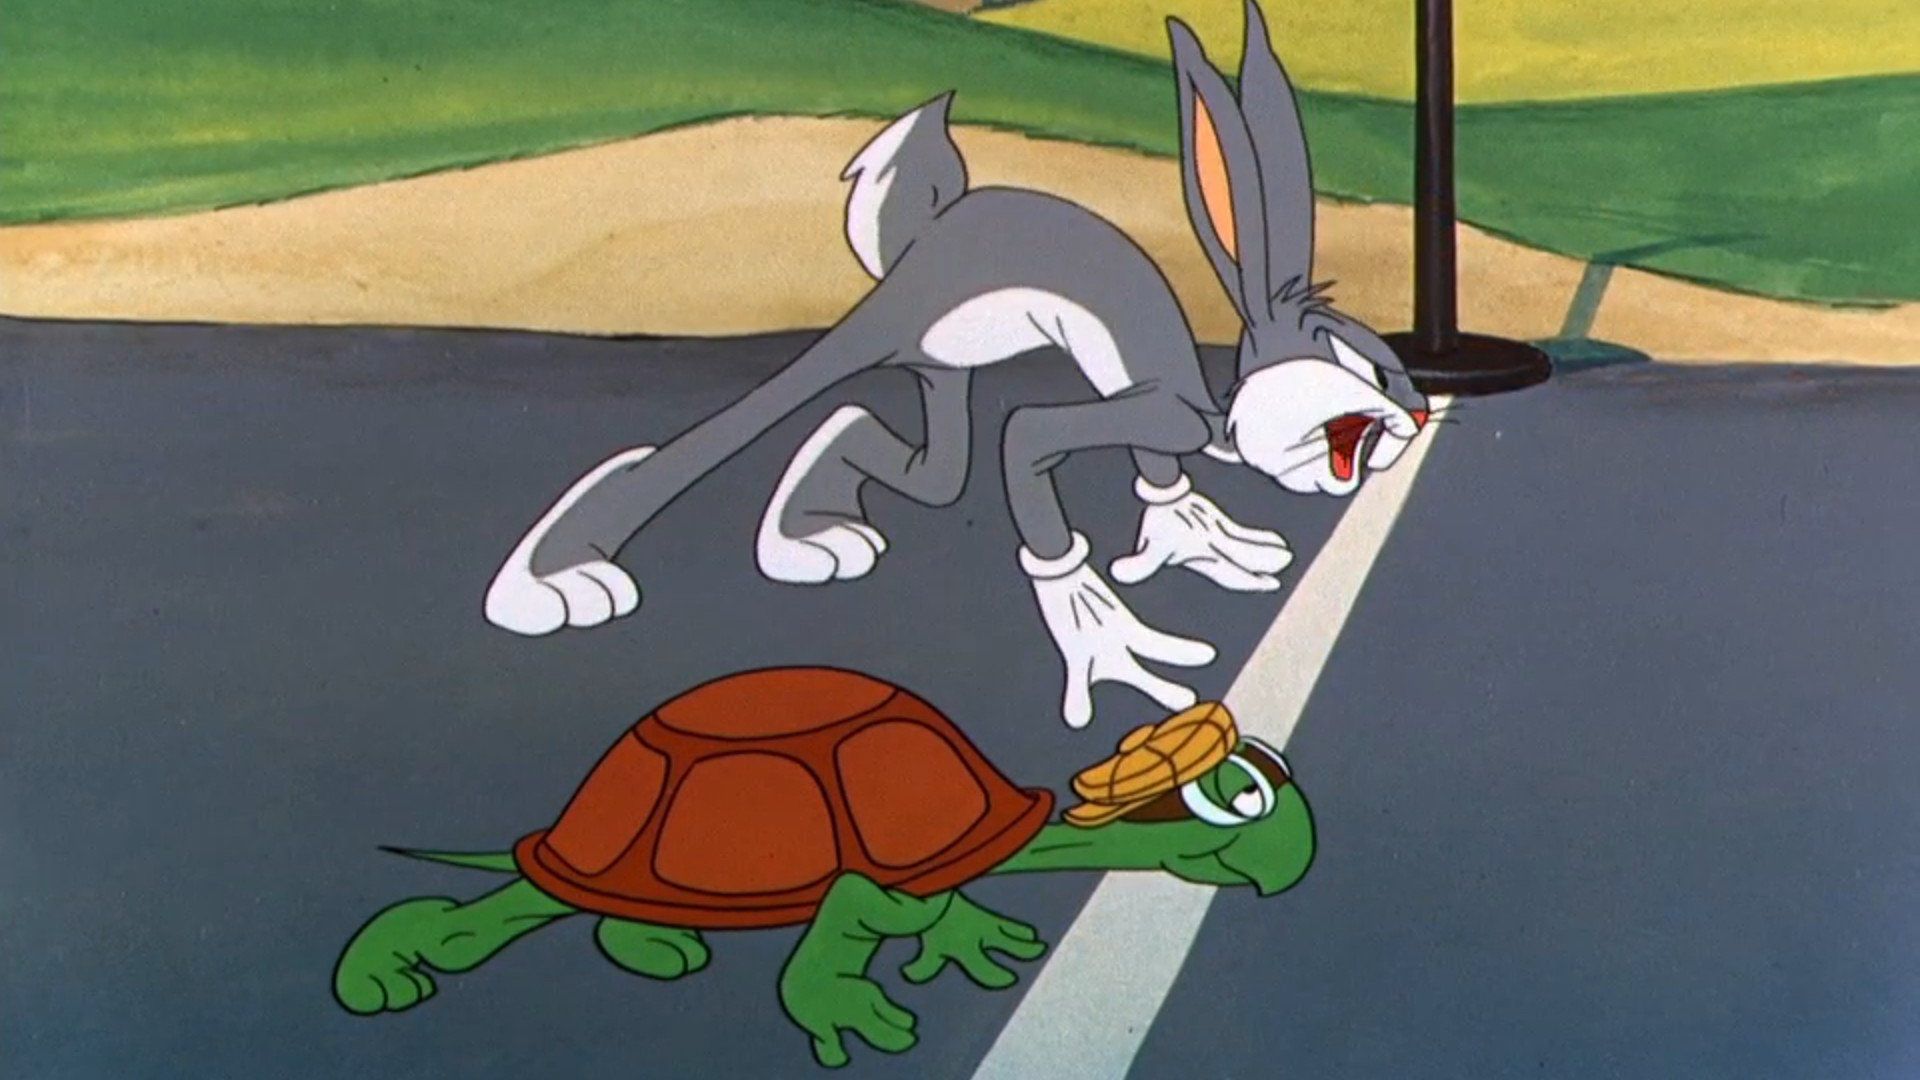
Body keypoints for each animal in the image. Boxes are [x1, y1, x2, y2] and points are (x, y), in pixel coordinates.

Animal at [482, 0, 1431, 729]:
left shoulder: (1154, 411)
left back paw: (807, 527)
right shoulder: (1148, 408)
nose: (1421, 413)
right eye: (1360, 367)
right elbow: (1029, 448)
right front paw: (1105, 639)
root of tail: (924, 237)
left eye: (1396, 365)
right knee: (771, 412)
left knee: (912, 458)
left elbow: (1158, 481)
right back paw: (558, 573)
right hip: (892, 324)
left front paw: (1196, 538)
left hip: (940, 362)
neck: (1219, 409)